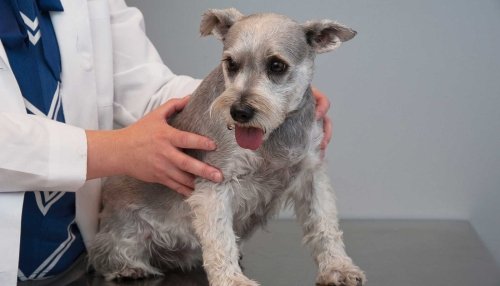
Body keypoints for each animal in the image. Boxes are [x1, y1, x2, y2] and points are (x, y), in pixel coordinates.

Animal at [88, 7, 366, 284]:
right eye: (231, 63)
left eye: (277, 65)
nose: (239, 111)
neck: (272, 135)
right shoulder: (216, 184)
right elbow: (220, 239)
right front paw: (232, 279)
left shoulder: (311, 174)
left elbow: (324, 225)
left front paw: (338, 267)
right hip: (126, 228)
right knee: (105, 251)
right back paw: (128, 267)